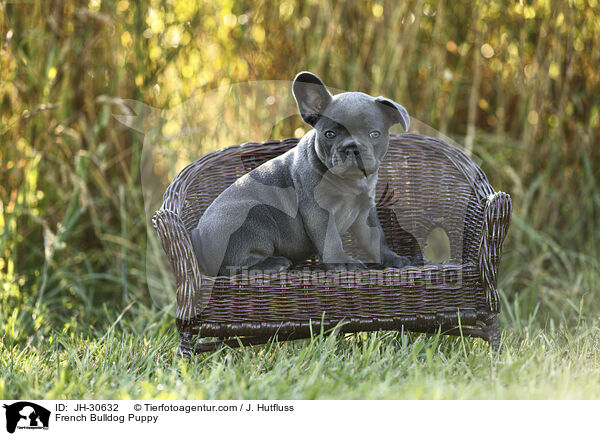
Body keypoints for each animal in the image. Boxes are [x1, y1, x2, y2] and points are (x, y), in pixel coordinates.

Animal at [192, 71, 412, 276]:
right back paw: (273, 263)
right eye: (329, 134)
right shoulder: (319, 212)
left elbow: (377, 239)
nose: (352, 148)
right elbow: (331, 239)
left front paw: (393, 258)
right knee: (232, 267)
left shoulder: (366, 213)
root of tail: (198, 235)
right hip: (252, 214)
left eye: (374, 134)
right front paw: (343, 262)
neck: (350, 182)